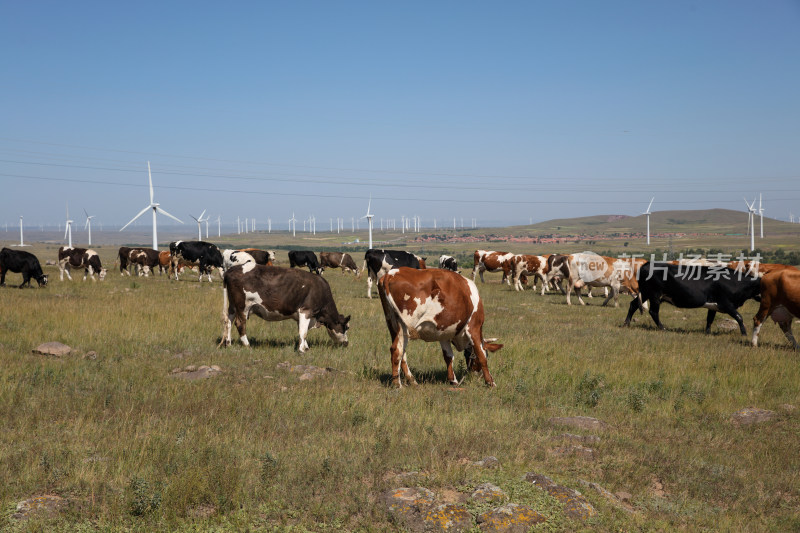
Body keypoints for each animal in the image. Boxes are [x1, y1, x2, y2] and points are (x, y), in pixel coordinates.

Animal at [222, 262, 354, 354]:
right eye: (346, 327)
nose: (347, 343)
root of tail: (231, 270)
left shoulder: (301, 316)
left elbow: (301, 332)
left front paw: (306, 347)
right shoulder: (306, 311)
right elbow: (303, 332)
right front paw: (302, 350)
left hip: (233, 306)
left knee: (228, 321)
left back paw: (228, 343)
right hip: (243, 306)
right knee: (240, 324)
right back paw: (247, 345)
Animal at [620, 260, 764, 334]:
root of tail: (647, 264)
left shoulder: (713, 305)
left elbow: (710, 319)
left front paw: (707, 333)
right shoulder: (726, 303)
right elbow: (739, 317)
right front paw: (744, 333)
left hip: (645, 293)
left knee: (633, 305)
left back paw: (626, 323)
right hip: (654, 295)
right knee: (653, 312)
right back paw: (663, 328)